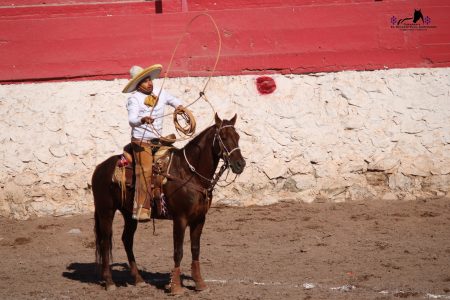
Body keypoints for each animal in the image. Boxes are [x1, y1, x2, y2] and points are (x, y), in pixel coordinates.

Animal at [91, 112, 246, 292]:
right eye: (223, 137)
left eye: (238, 137)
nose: (240, 164)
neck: (189, 173)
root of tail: (100, 167)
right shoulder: (180, 218)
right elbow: (178, 251)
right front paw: (175, 287)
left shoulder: (199, 219)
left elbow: (195, 249)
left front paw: (199, 283)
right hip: (105, 211)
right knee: (105, 241)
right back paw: (109, 282)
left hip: (129, 214)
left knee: (127, 240)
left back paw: (138, 279)